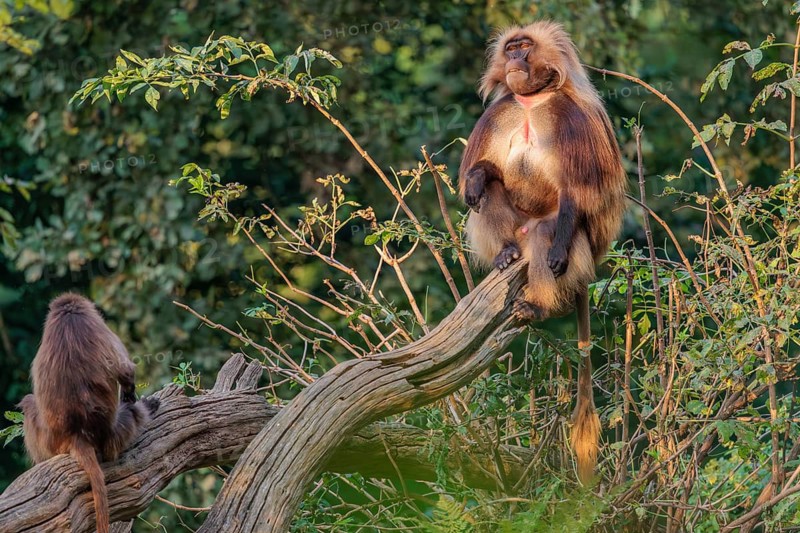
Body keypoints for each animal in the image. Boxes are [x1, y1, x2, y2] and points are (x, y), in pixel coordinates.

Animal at [459, 21, 627, 483]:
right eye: (511, 48)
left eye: (524, 47)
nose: (515, 59)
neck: (532, 101)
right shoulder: (500, 113)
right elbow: (483, 173)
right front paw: (476, 177)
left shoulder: (574, 119)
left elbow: (578, 193)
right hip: (514, 227)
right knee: (489, 194)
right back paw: (503, 254)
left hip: (569, 244)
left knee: (548, 233)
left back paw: (540, 305)